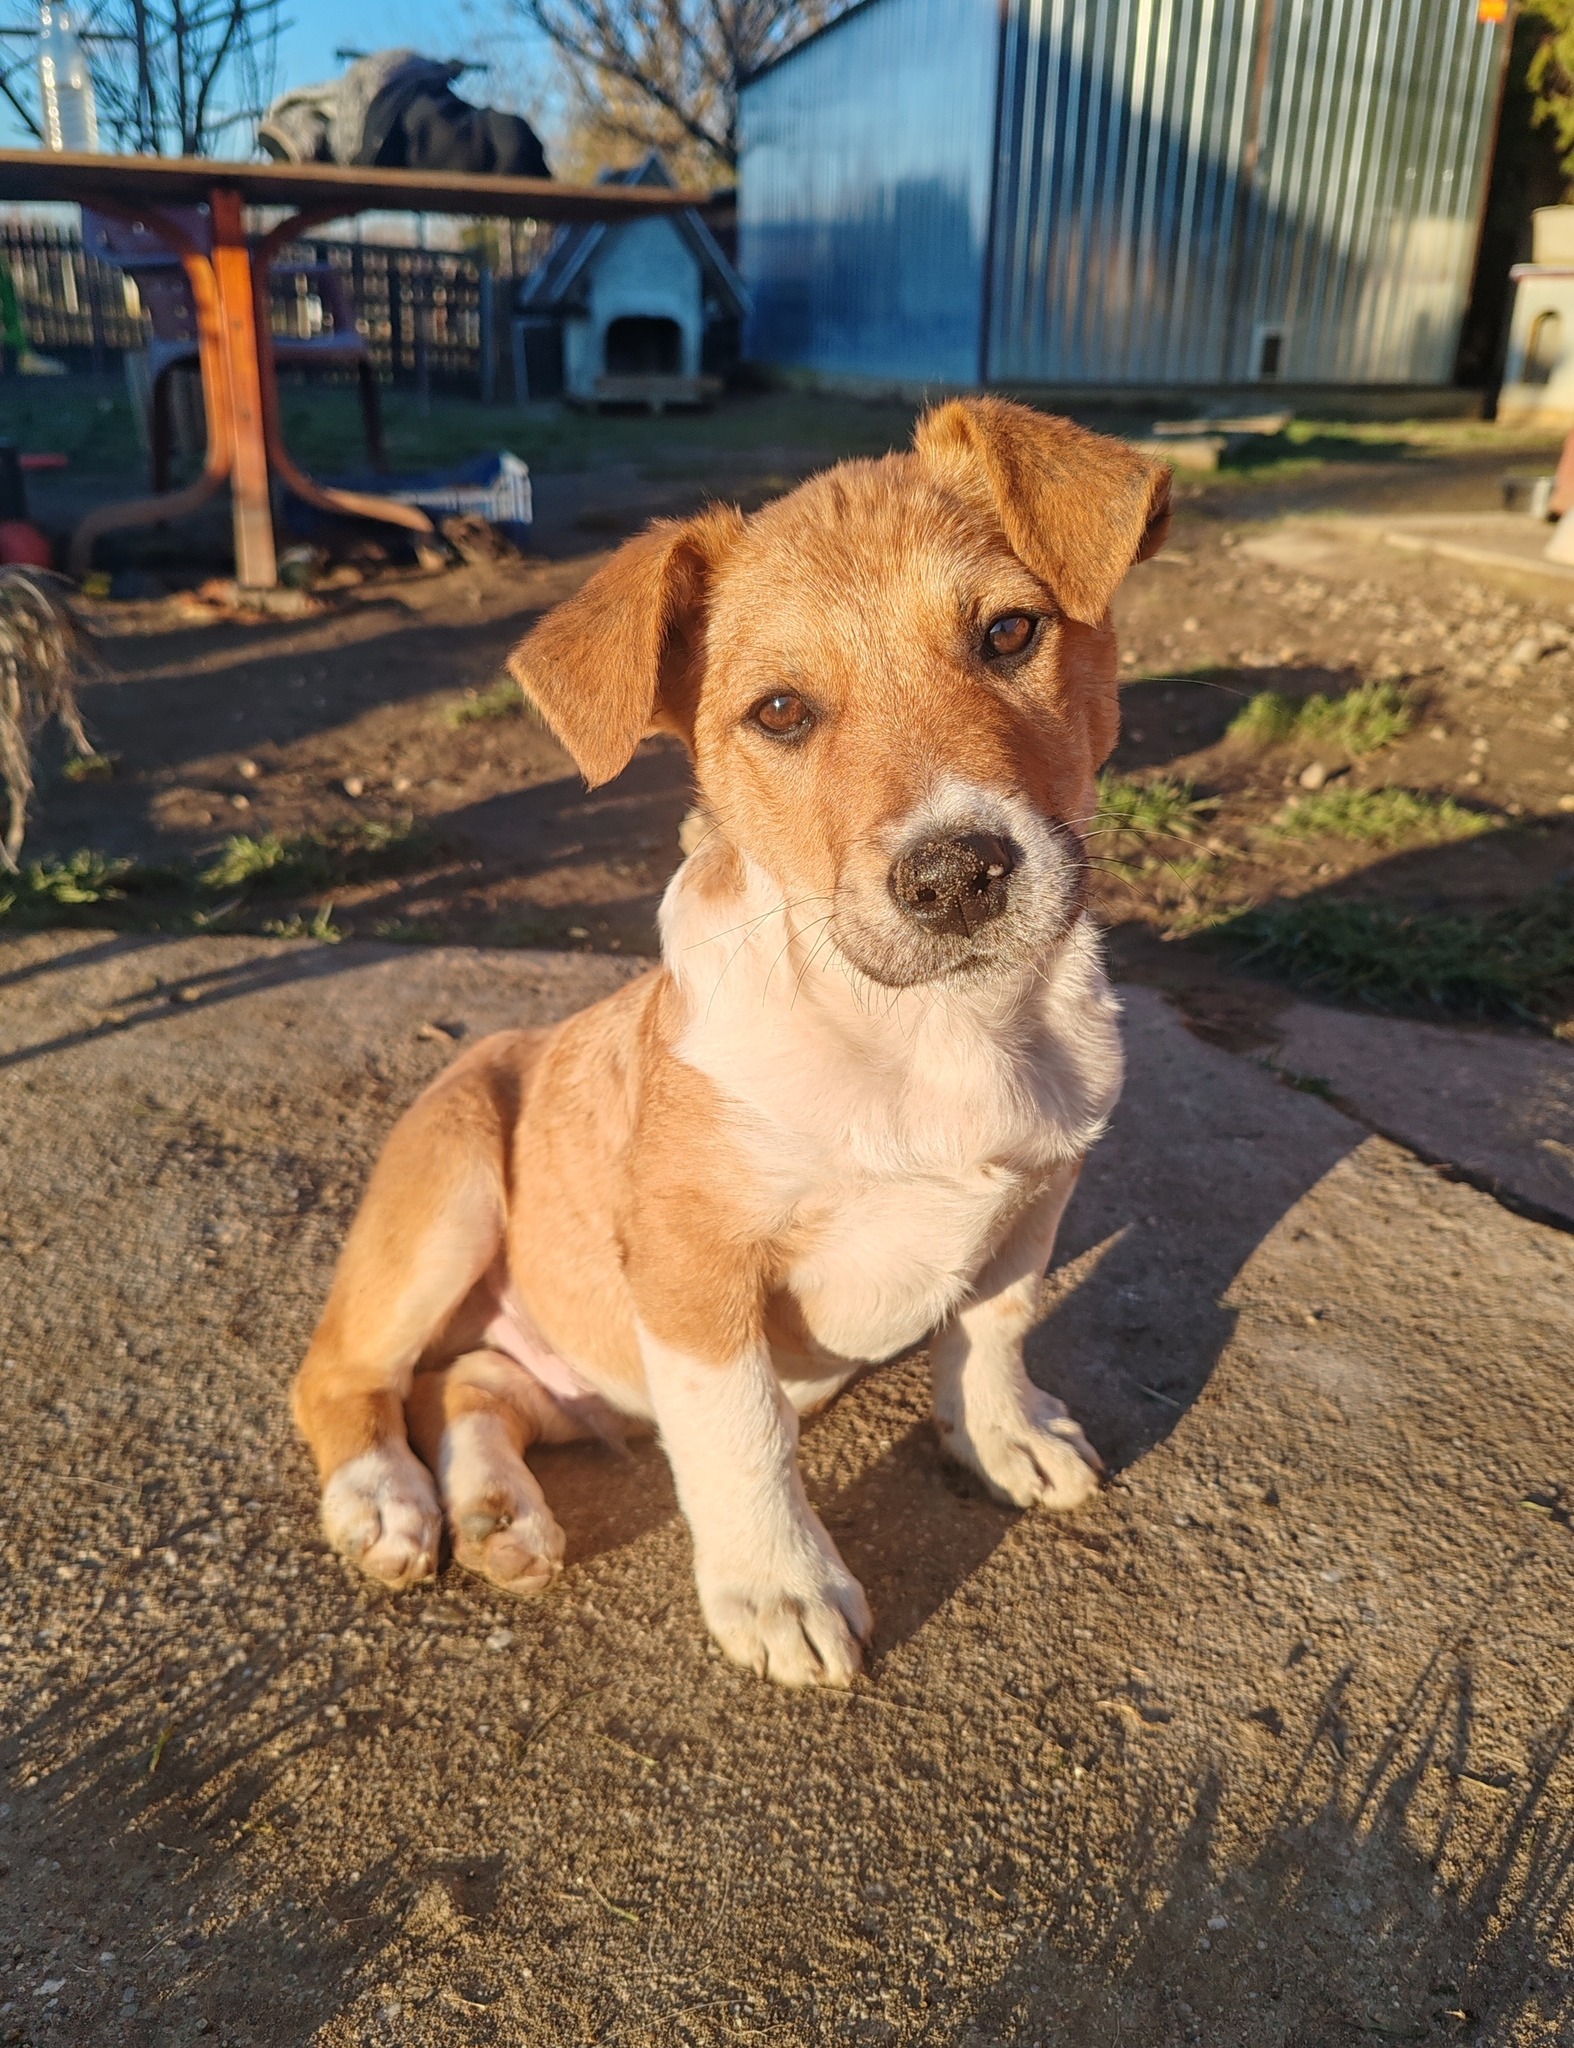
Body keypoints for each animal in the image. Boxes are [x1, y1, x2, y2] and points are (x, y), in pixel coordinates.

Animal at [292, 397, 1170, 1687]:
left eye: (1009, 633)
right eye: (780, 712)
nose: (955, 875)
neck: (924, 1028)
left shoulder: (1037, 1190)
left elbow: (992, 1325)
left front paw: (1001, 1434)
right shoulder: (692, 1266)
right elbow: (742, 1434)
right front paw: (777, 1585)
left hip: (551, 1368)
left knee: (467, 1386)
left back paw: (499, 1512)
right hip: (449, 1183)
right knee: (342, 1373)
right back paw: (384, 1499)